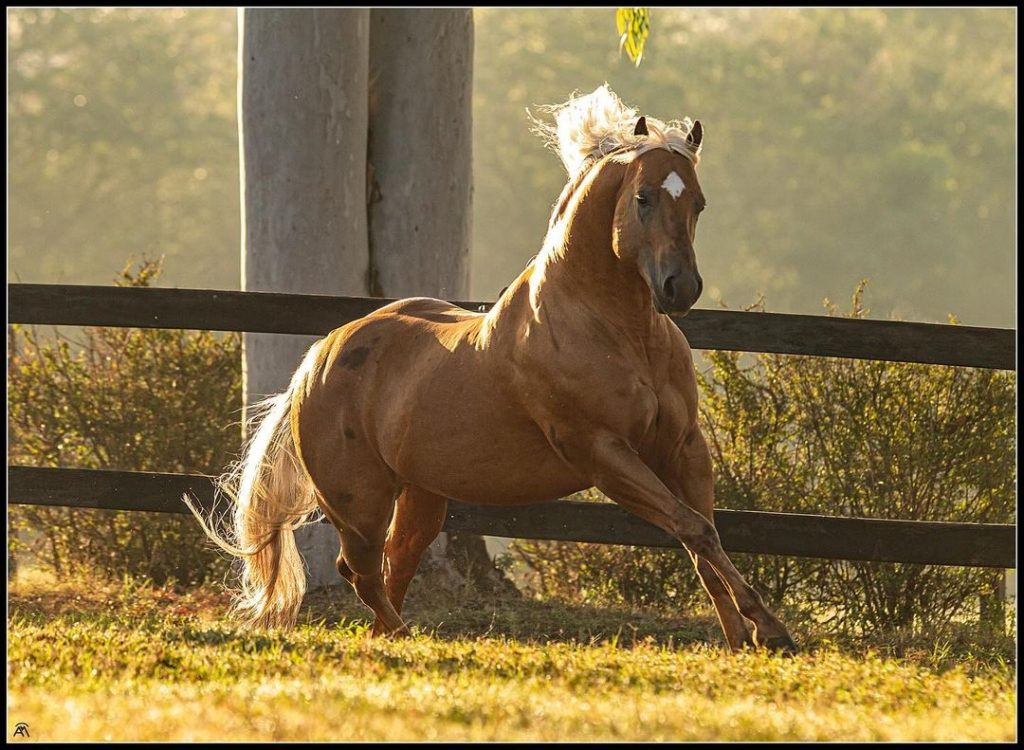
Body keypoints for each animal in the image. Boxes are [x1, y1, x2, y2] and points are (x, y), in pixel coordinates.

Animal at [190, 85, 798, 651]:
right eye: (643, 198)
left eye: (698, 202)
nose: (681, 288)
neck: (620, 334)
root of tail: (321, 356)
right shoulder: (603, 453)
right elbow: (694, 529)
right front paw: (771, 631)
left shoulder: (681, 447)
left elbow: (701, 536)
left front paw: (743, 638)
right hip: (358, 502)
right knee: (359, 572)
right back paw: (404, 637)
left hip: (422, 497)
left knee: (392, 566)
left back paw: (393, 636)